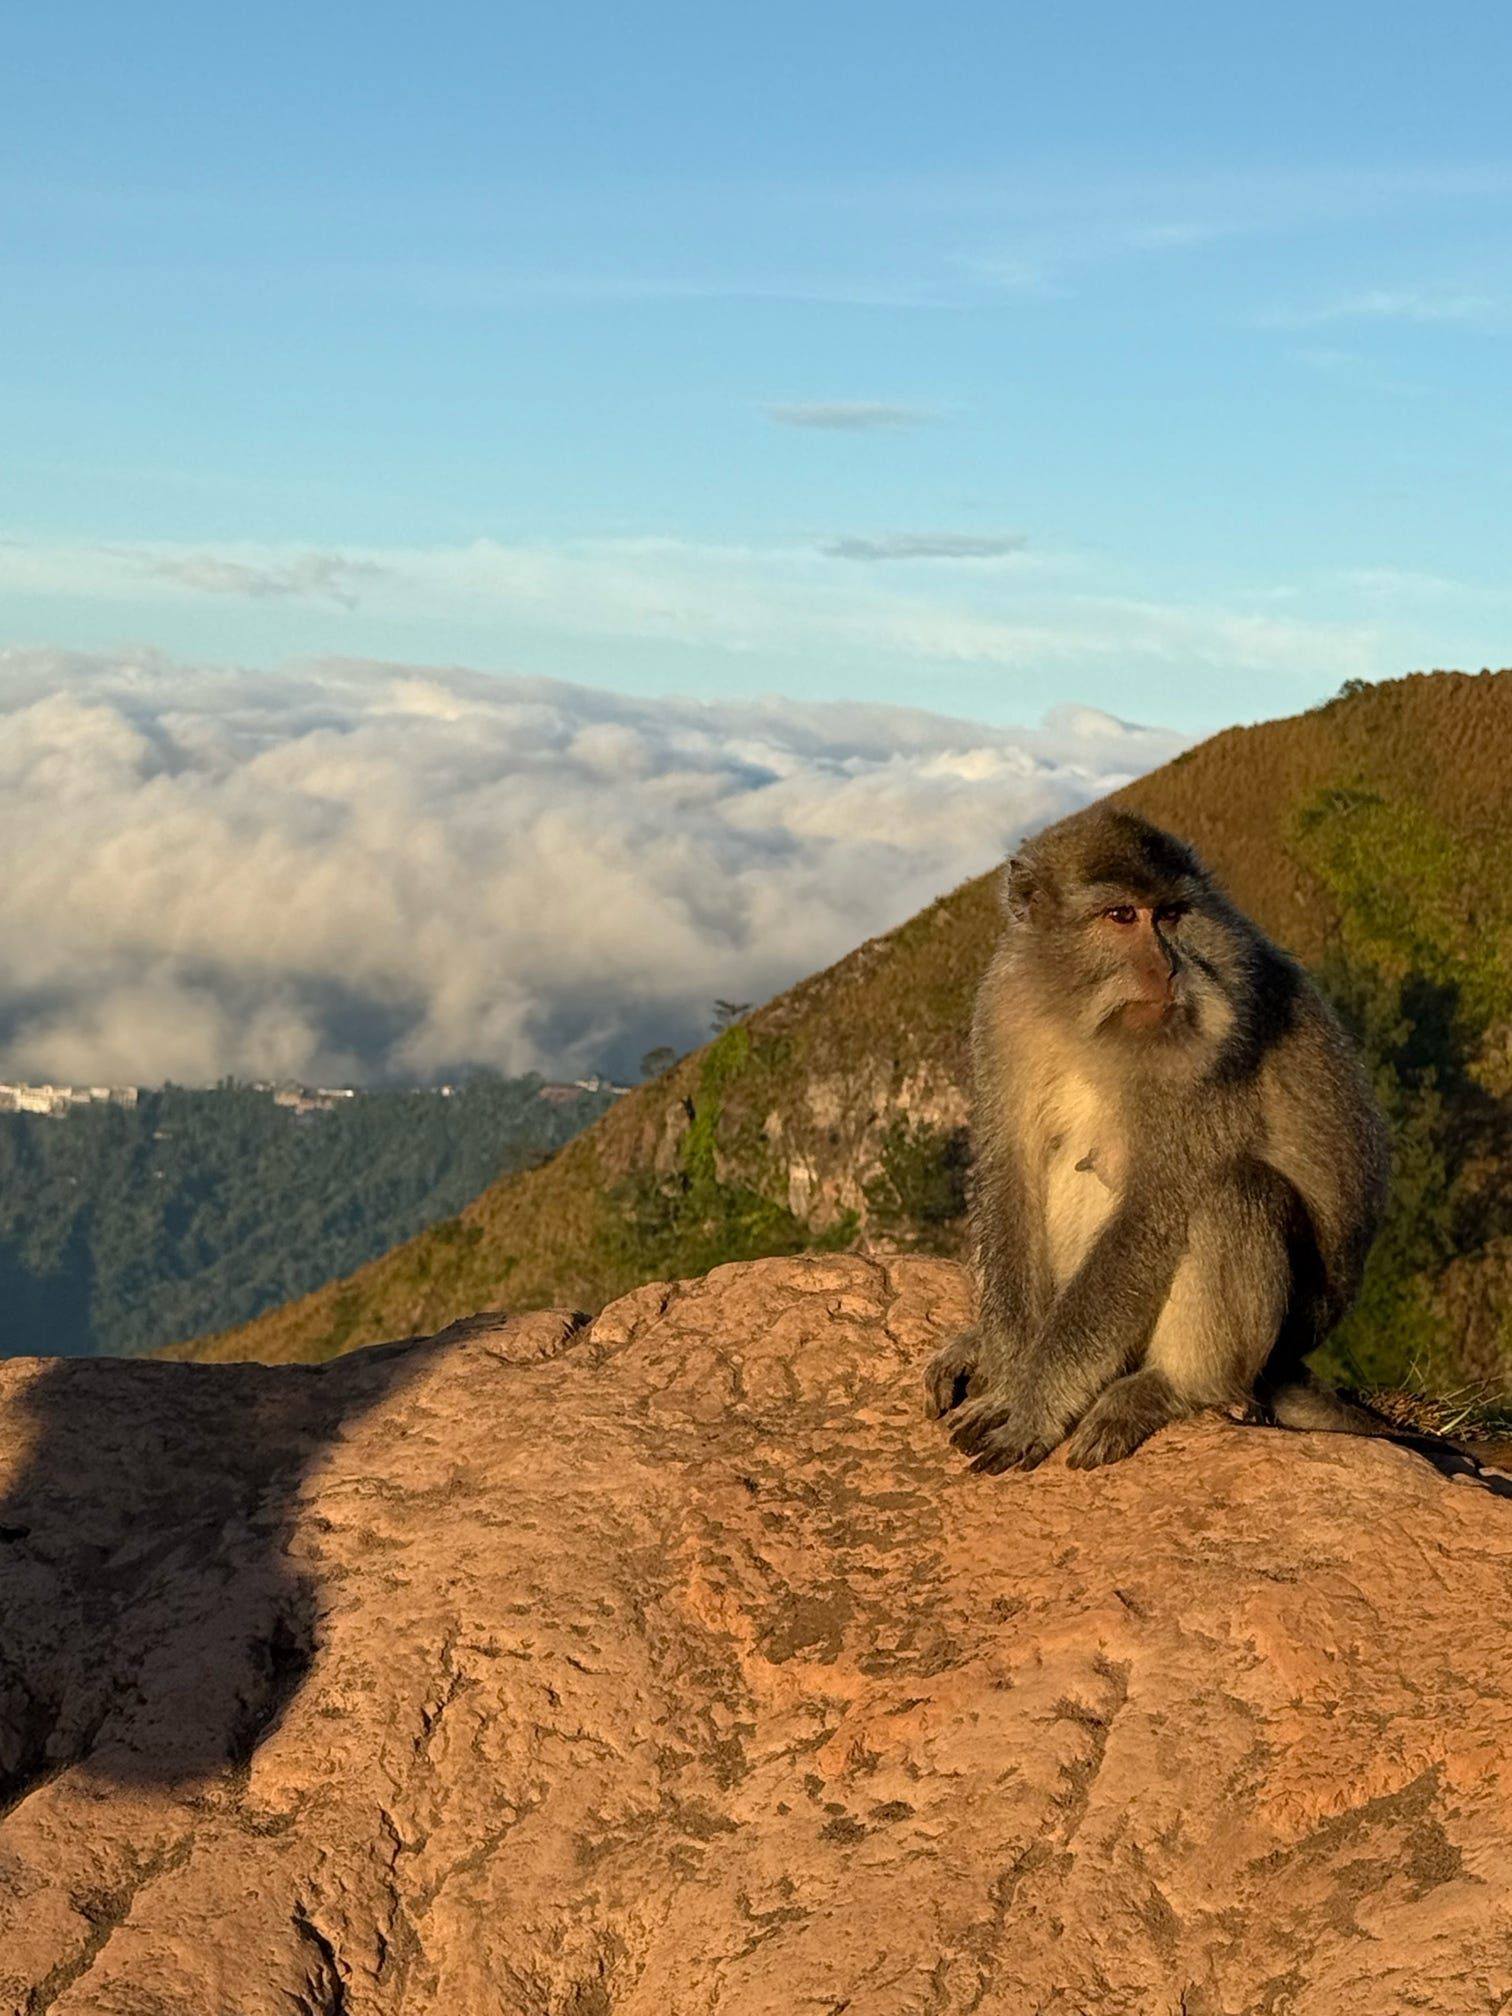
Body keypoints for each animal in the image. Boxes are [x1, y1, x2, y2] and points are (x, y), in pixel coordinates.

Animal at [923, 805, 1394, 1474]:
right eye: (1122, 916)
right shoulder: (1004, 1007)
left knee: (1233, 1190)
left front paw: (1030, 1403)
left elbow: (1153, 1208)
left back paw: (1169, 1387)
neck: (1086, 1023)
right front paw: (1005, 1367)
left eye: (1170, 915)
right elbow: (1010, 1171)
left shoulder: (1213, 1050)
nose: (1168, 969)